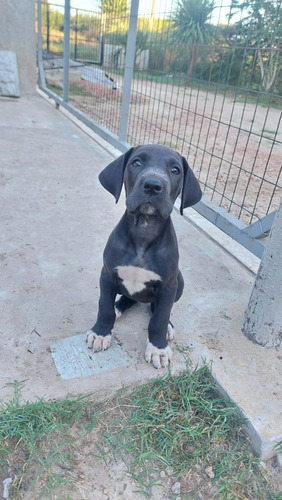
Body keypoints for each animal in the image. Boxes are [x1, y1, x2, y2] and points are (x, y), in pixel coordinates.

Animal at [85, 144, 202, 368]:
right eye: (136, 162)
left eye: (175, 170)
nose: (153, 186)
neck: (144, 230)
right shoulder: (107, 274)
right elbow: (104, 307)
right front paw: (101, 333)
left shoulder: (169, 285)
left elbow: (159, 318)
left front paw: (158, 348)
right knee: (126, 299)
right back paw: (118, 308)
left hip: (180, 282)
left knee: (158, 309)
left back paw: (167, 327)